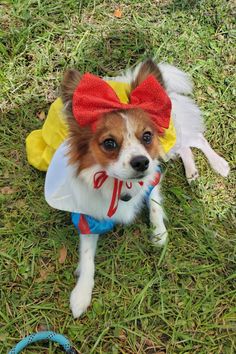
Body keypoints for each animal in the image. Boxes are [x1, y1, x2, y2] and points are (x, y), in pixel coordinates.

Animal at [44, 58, 229, 318]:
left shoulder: (153, 177)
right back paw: (192, 172)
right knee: (186, 148)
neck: (118, 181)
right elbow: (88, 257)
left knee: (197, 139)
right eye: (109, 143)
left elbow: (154, 206)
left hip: (174, 135)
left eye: (147, 136)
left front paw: (159, 235)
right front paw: (81, 294)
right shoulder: (88, 215)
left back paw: (219, 164)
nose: (142, 162)